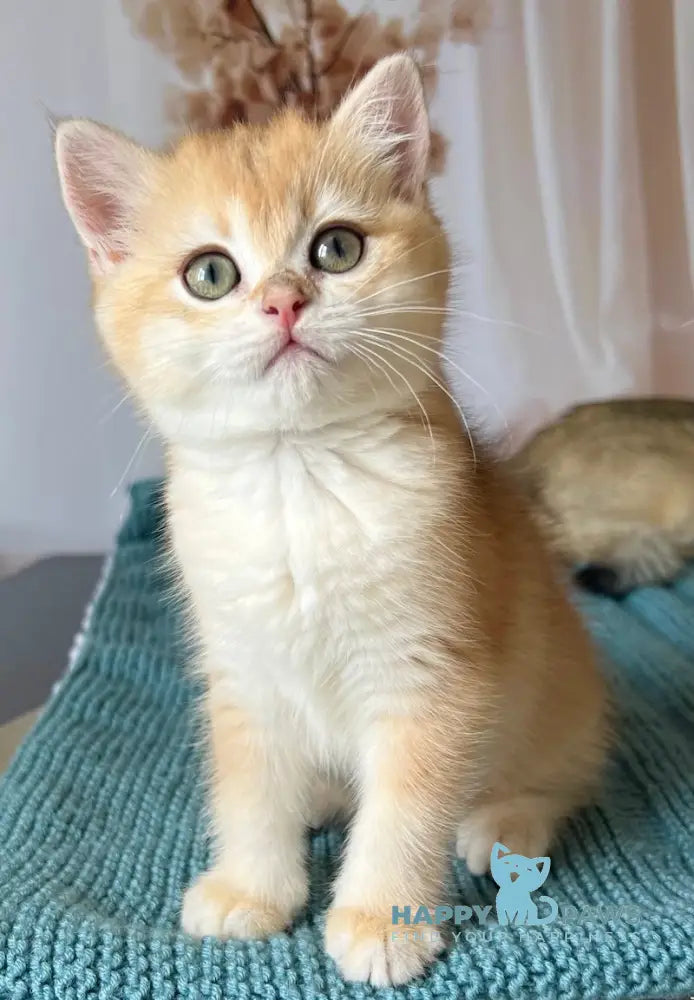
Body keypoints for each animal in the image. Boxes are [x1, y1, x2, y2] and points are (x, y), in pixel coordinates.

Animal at [55, 54, 608, 984]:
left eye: (336, 248)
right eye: (211, 273)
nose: (284, 302)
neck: (298, 480)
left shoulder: (431, 679)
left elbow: (405, 809)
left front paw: (381, 918)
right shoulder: (243, 673)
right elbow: (250, 788)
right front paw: (251, 887)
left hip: (561, 693)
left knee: (563, 773)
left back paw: (505, 822)